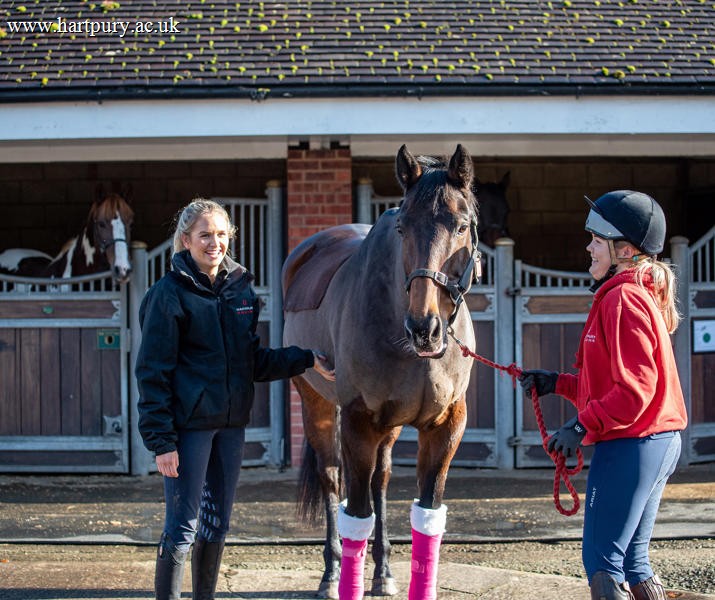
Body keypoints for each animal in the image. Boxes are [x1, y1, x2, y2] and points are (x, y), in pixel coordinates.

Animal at [282, 144, 478, 599]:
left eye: (462, 226)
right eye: (402, 227)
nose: (424, 328)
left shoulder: (447, 425)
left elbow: (427, 513)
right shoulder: (357, 422)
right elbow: (355, 511)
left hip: (388, 427)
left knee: (381, 480)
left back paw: (384, 570)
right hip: (316, 405)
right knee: (332, 478)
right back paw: (330, 574)